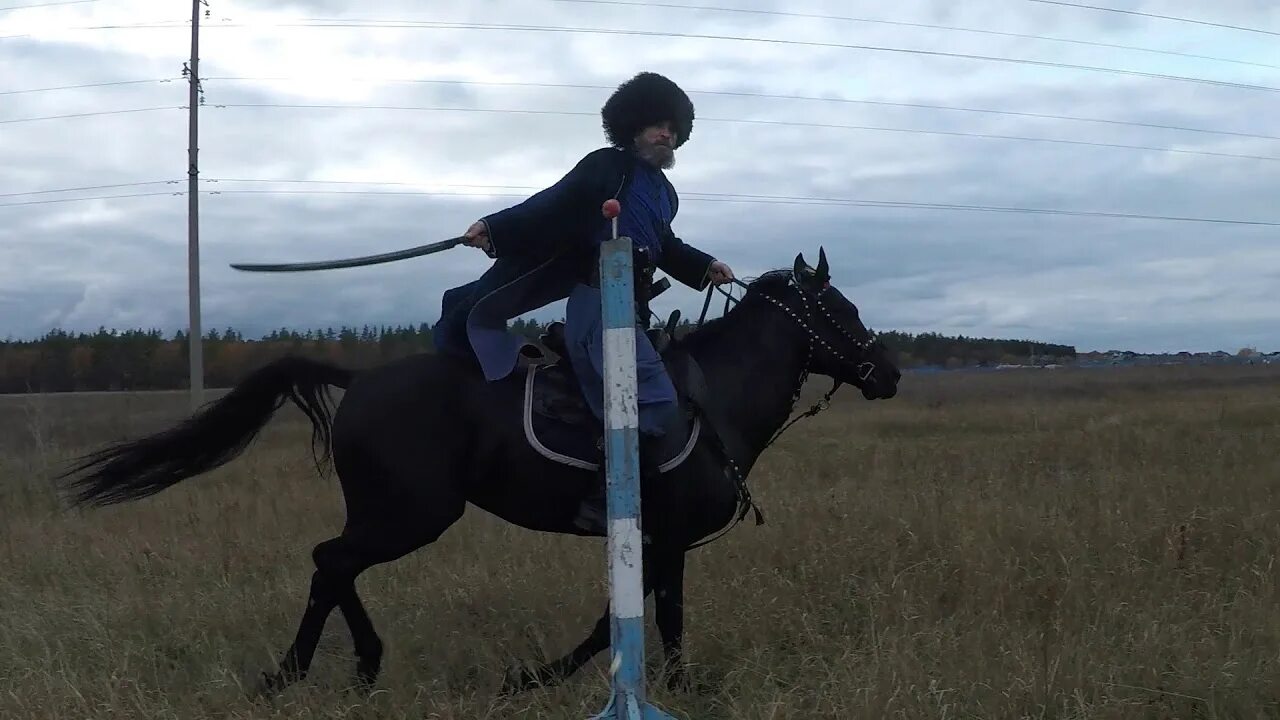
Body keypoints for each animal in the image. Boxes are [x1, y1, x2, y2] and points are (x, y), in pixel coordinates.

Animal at [55, 248, 901, 696]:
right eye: (843, 310)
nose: (889, 373)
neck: (710, 399)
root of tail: (361, 379)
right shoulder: (664, 539)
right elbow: (635, 620)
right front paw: (540, 679)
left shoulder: (663, 542)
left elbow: (643, 618)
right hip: (411, 514)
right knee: (331, 562)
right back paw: (310, 670)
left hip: (396, 514)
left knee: (334, 567)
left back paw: (342, 668)